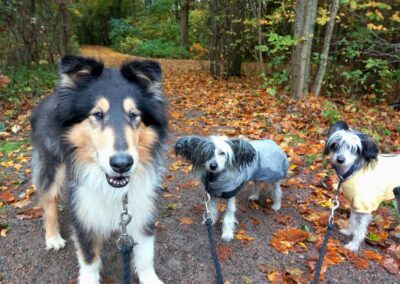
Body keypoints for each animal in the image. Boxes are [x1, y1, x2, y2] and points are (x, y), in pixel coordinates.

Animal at [30, 55, 167, 282]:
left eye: (133, 114)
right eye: (98, 114)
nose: (122, 164)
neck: (111, 187)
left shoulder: (142, 206)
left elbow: (146, 255)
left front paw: (151, 279)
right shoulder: (84, 210)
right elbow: (88, 259)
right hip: (51, 163)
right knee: (48, 200)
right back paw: (53, 237)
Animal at [324, 121, 400, 250]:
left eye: (353, 149)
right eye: (335, 144)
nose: (340, 159)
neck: (353, 171)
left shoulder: (364, 206)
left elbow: (360, 229)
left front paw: (354, 244)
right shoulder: (354, 203)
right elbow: (353, 220)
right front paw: (349, 231)